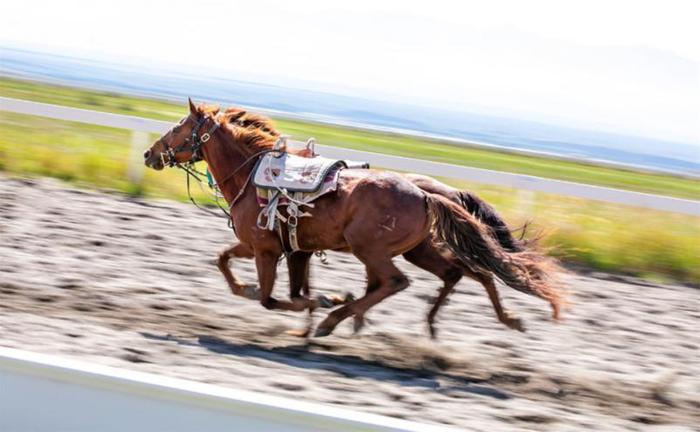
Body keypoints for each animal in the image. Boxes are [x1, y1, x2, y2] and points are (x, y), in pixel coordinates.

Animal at [144, 101, 564, 338]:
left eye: (179, 126)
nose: (150, 153)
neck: (253, 176)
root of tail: (425, 195)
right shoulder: (287, 250)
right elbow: (227, 261)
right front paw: (308, 306)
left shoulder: (265, 249)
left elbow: (269, 297)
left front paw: (319, 304)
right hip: (417, 250)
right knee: (460, 274)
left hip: (372, 249)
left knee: (397, 282)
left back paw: (337, 319)